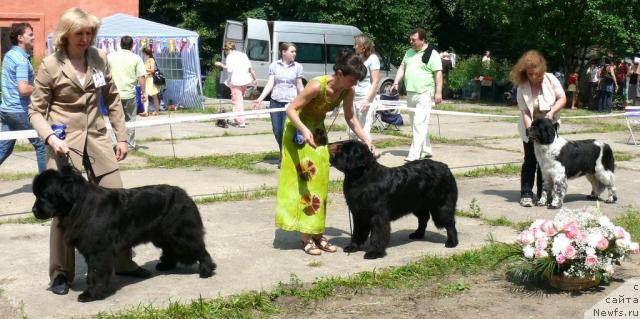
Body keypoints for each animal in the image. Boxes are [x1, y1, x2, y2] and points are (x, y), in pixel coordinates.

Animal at [31, 166, 216, 304]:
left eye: (45, 195)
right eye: (36, 194)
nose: (34, 210)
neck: (78, 205)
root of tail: (184, 194)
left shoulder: (98, 251)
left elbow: (95, 273)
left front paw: (91, 294)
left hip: (181, 234)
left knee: (200, 249)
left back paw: (207, 270)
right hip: (162, 235)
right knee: (170, 249)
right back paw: (166, 265)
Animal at [330, 141, 460, 258]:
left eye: (343, 152)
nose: (330, 155)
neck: (360, 178)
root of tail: (445, 167)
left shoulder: (377, 216)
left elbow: (377, 235)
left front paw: (375, 253)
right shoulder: (358, 213)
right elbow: (358, 232)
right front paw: (353, 247)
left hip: (441, 207)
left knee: (449, 223)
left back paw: (452, 242)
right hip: (418, 205)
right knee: (423, 219)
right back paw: (418, 234)